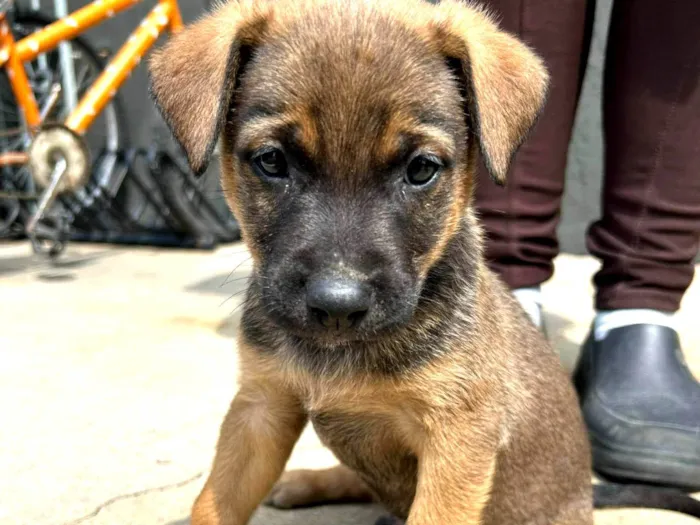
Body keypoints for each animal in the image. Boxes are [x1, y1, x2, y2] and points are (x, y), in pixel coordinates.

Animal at [149, 1, 700, 524]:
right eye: (271, 161)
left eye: (421, 169)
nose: (337, 306)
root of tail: (587, 493)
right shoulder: (261, 407)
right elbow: (212, 503)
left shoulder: (456, 440)